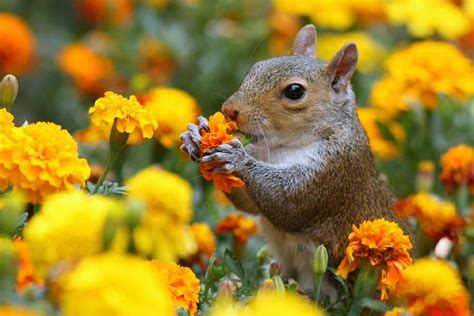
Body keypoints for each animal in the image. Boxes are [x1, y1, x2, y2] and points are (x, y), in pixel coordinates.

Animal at [180, 24, 410, 294]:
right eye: (255, 68)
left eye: (294, 91)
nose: (229, 110)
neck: (285, 146)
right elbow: (248, 204)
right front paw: (195, 135)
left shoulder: (331, 172)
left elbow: (287, 203)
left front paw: (237, 158)